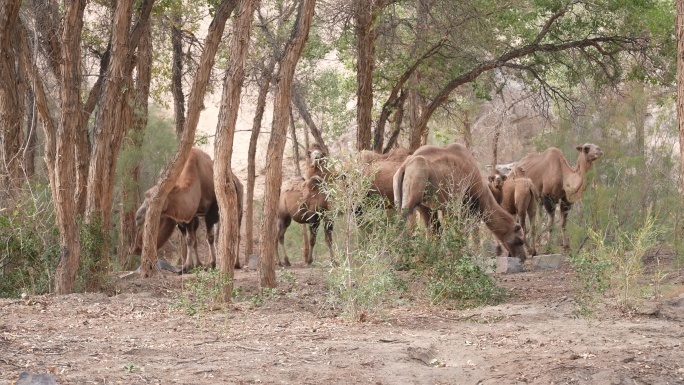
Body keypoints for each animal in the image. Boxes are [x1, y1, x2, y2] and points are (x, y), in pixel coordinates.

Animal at [392, 143, 528, 260]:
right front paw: (465, 254)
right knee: (402, 219)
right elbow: (467, 229)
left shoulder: (430, 207)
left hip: (406, 195)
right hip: (416, 185)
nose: (522, 257)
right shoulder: (469, 204)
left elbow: (435, 229)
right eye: (519, 240)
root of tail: (404, 166)